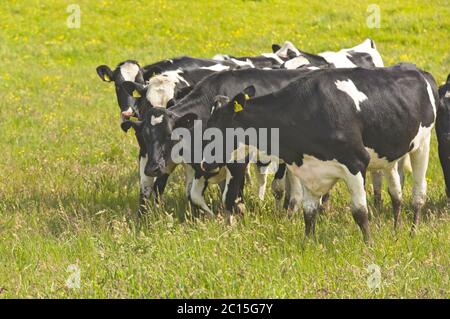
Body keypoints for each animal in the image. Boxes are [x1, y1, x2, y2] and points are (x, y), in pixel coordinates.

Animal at [201, 63, 440, 242]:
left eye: (216, 129)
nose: (204, 164)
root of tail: (418, 70)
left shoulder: (355, 163)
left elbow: (360, 212)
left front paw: (368, 245)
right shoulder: (309, 170)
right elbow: (309, 213)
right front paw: (307, 244)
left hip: (423, 145)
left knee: (419, 193)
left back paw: (412, 231)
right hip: (388, 154)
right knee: (396, 193)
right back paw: (396, 229)